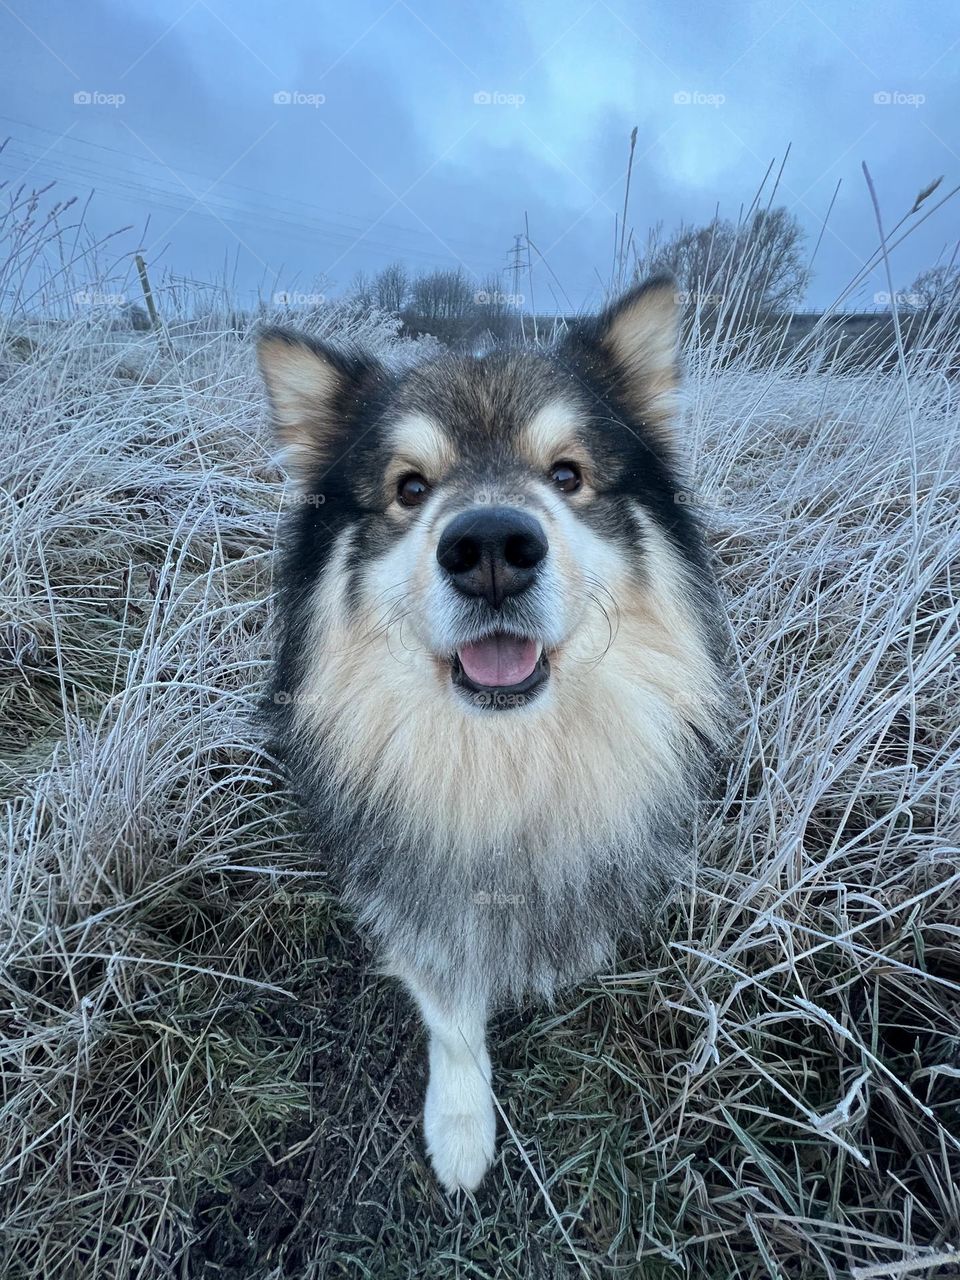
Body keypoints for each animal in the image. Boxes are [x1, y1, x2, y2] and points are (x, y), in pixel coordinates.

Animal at [257, 275, 727, 1192]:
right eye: (409, 488)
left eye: (567, 473)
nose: (491, 548)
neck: (502, 754)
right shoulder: (414, 895)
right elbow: (449, 1013)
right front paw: (462, 1121)